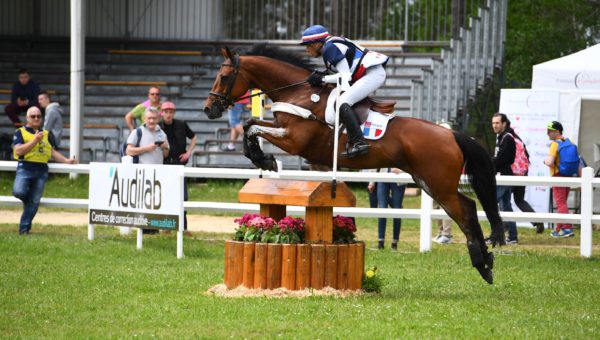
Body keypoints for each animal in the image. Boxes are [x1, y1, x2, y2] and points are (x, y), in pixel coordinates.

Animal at [204, 44, 504, 284]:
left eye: (224, 77)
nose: (209, 109)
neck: (298, 92)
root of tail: (452, 134)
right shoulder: (281, 128)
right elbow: (250, 124)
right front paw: (261, 157)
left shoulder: (293, 140)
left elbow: (252, 127)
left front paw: (262, 157)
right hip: (428, 182)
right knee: (467, 209)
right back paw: (486, 264)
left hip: (439, 184)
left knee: (466, 211)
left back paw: (483, 263)